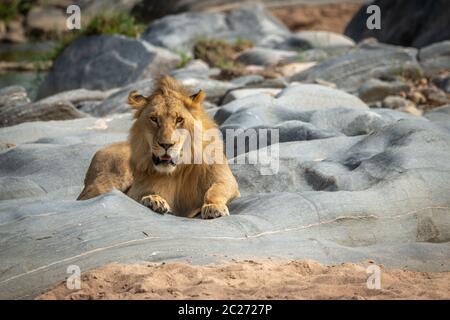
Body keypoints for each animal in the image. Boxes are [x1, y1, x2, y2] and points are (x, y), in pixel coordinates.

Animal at [77, 76, 239, 219]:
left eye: (179, 119)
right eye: (154, 119)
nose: (166, 144)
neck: (179, 171)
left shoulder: (225, 179)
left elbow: (216, 190)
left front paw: (213, 207)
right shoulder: (137, 189)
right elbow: (140, 194)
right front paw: (153, 200)